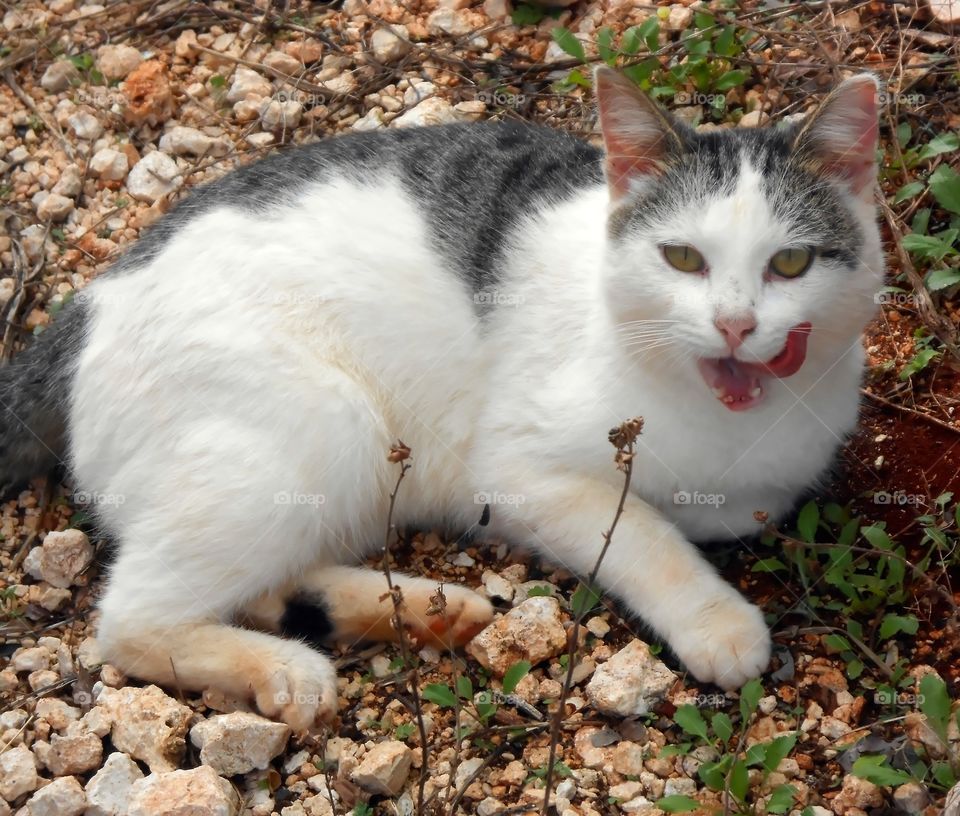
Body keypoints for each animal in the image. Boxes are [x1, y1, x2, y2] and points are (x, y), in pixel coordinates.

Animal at [0, 70, 884, 728]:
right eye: (683, 259)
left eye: (791, 264)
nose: (735, 325)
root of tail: (83, 305)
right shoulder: (516, 469)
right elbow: (643, 532)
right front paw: (715, 619)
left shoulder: (773, 477)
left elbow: (724, 511)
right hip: (323, 424)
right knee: (129, 621)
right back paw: (292, 668)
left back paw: (412, 609)